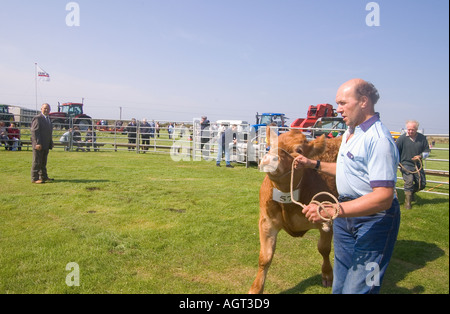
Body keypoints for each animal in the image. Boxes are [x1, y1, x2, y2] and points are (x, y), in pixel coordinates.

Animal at [250, 127, 342, 294]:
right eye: (270, 147)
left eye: (298, 150)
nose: (268, 159)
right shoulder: (267, 222)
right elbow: (265, 257)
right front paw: (256, 289)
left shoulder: (326, 221)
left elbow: (324, 249)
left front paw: (327, 275)